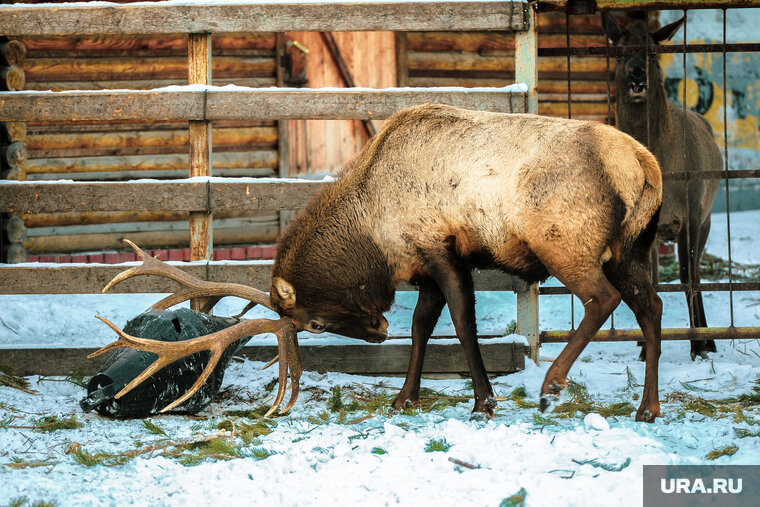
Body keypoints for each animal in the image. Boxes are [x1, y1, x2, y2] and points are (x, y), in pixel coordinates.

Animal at [98, 103, 664, 420]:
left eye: (315, 323)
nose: (375, 330)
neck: (374, 232)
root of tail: (644, 166)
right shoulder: (424, 267)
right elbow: (421, 327)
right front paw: (404, 397)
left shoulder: (439, 247)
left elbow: (461, 323)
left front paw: (483, 401)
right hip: (633, 249)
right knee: (651, 308)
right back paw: (647, 407)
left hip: (566, 243)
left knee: (603, 300)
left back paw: (551, 386)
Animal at [604, 12, 720, 362]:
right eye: (619, 53)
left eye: (653, 53)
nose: (637, 74)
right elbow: (650, 280)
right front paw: (645, 347)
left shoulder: (693, 212)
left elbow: (688, 276)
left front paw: (699, 345)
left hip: (708, 216)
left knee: (694, 272)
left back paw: (709, 339)